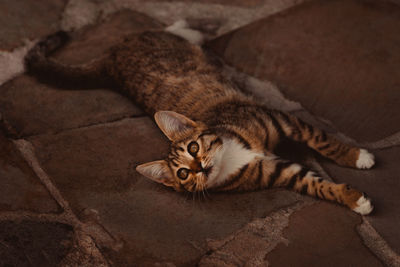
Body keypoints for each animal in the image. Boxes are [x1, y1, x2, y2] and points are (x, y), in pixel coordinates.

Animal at [24, 28, 376, 216]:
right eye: (182, 174)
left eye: (193, 147)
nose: (199, 168)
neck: (234, 152)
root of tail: (110, 61)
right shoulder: (279, 172)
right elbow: (315, 184)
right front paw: (354, 199)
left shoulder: (282, 120)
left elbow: (321, 139)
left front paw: (357, 155)